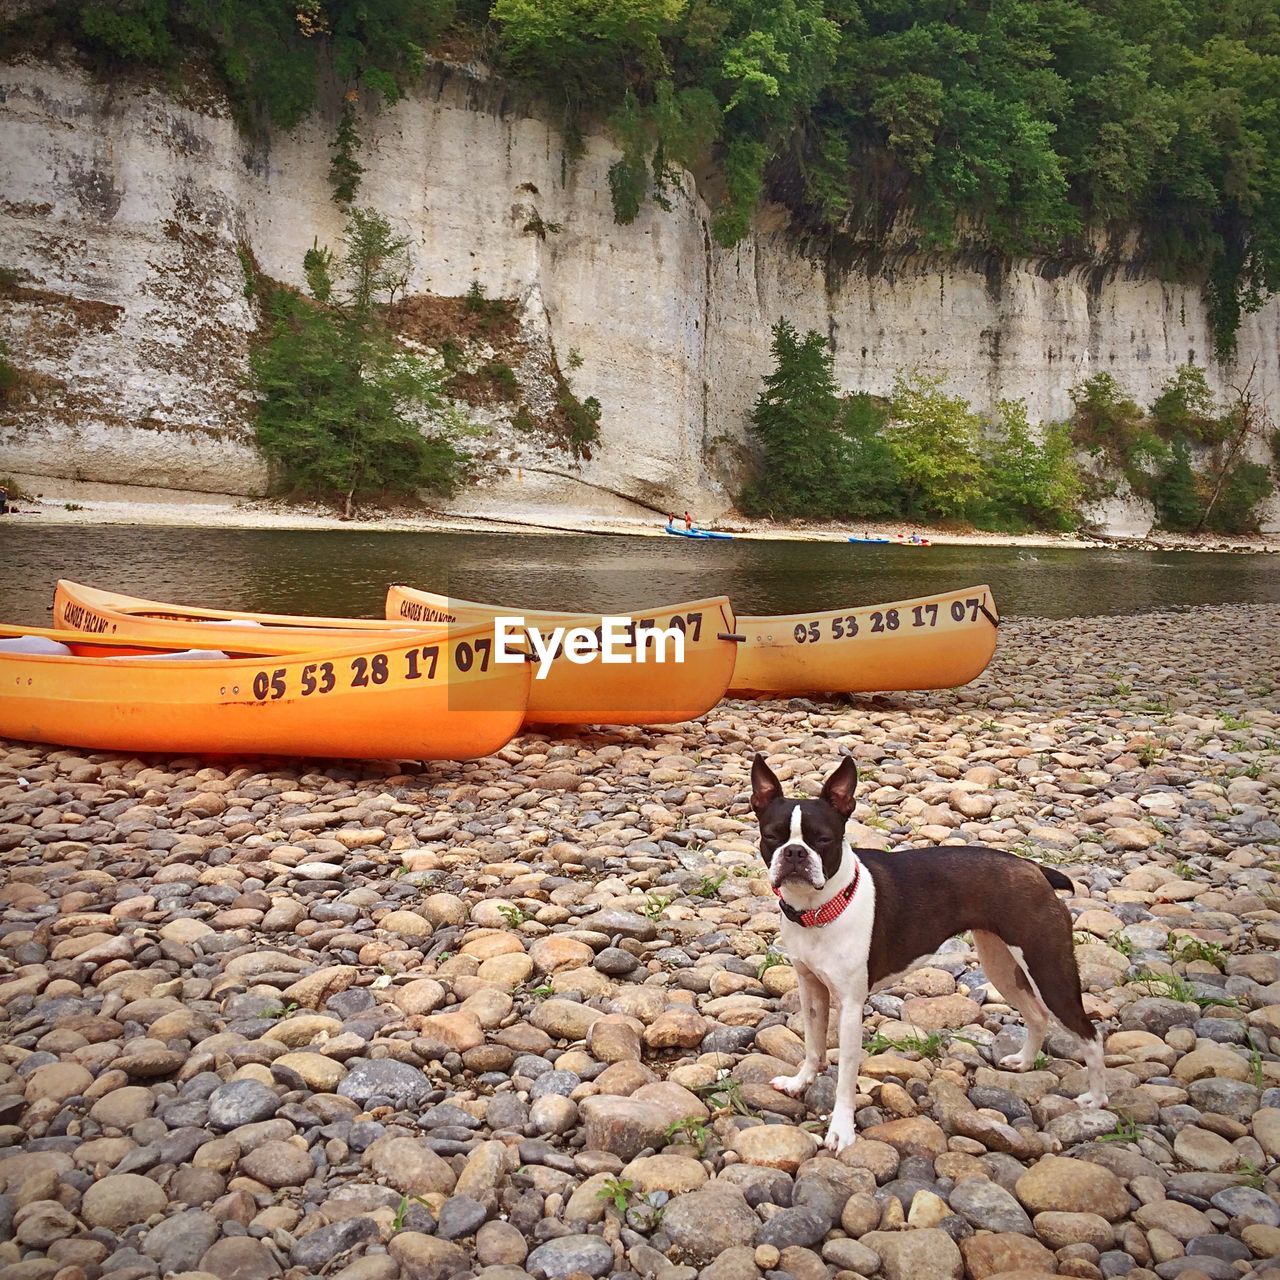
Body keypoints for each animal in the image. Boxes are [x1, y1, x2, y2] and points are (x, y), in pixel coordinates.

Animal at [752, 752, 1105, 1157]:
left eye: (823, 840)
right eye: (771, 836)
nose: (794, 852)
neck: (820, 909)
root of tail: (1035, 869)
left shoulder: (851, 1008)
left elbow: (845, 1077)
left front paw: (841, 1130)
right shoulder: (811, 989)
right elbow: (812, 1046)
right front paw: (800, 1082)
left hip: (1049, 970)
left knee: (1089, 1033)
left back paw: (1096, 1100)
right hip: (1000, 964)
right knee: (1035, 1014)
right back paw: (1024, 1061)